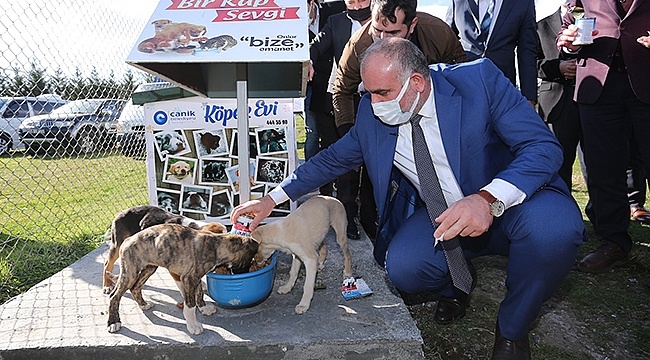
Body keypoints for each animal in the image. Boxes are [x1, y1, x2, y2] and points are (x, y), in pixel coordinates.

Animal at [107, 224, 256, 336]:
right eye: (248, 261)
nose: (245, 272)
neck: (217, 245)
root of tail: (127, 240)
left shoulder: (195, 278)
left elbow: (199, 294)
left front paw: (204, 308)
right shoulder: (189, 278)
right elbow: (190, 305)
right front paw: (193, 325)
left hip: (149, 267)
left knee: (135, 287)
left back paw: (143, 305)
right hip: (130, 273)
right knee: (114, 296)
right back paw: (113, 323)